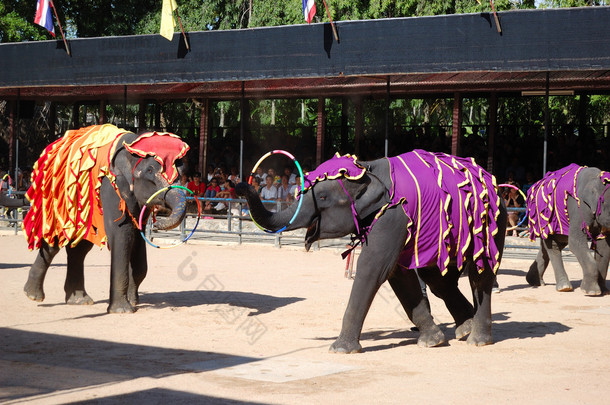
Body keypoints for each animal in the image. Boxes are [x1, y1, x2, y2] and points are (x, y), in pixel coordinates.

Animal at [22, 123, 188, 312]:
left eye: (183, 172)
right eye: (150, 170)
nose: (158, 221)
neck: (132, 143)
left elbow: (137, 236)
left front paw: (133, 302)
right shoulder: (111, 186)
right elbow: (122, 232)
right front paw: (123, 310)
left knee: (79, 248)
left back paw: (79, 300)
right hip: (58, 201)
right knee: (55, 242)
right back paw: (33, 295)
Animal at [236, 150, 504, 352]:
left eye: (322, 197)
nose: (239, 183)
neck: (366, 168)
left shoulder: (393, 215)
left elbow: (373, 268)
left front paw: (340, 349)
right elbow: (398, 275)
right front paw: (432, 341)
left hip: (490, 222)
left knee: (479, 274)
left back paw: (477, 339)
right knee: (437, 279)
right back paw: (465, 328)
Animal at [524, 163, 608, 294]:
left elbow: (603, 246)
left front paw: (604, 291)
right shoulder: (580, 208)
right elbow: (575, 242)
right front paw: (591, 292)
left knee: (550, 245)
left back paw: (535, 281)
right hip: (545, 218)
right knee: (552, 245)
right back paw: (564, 287)